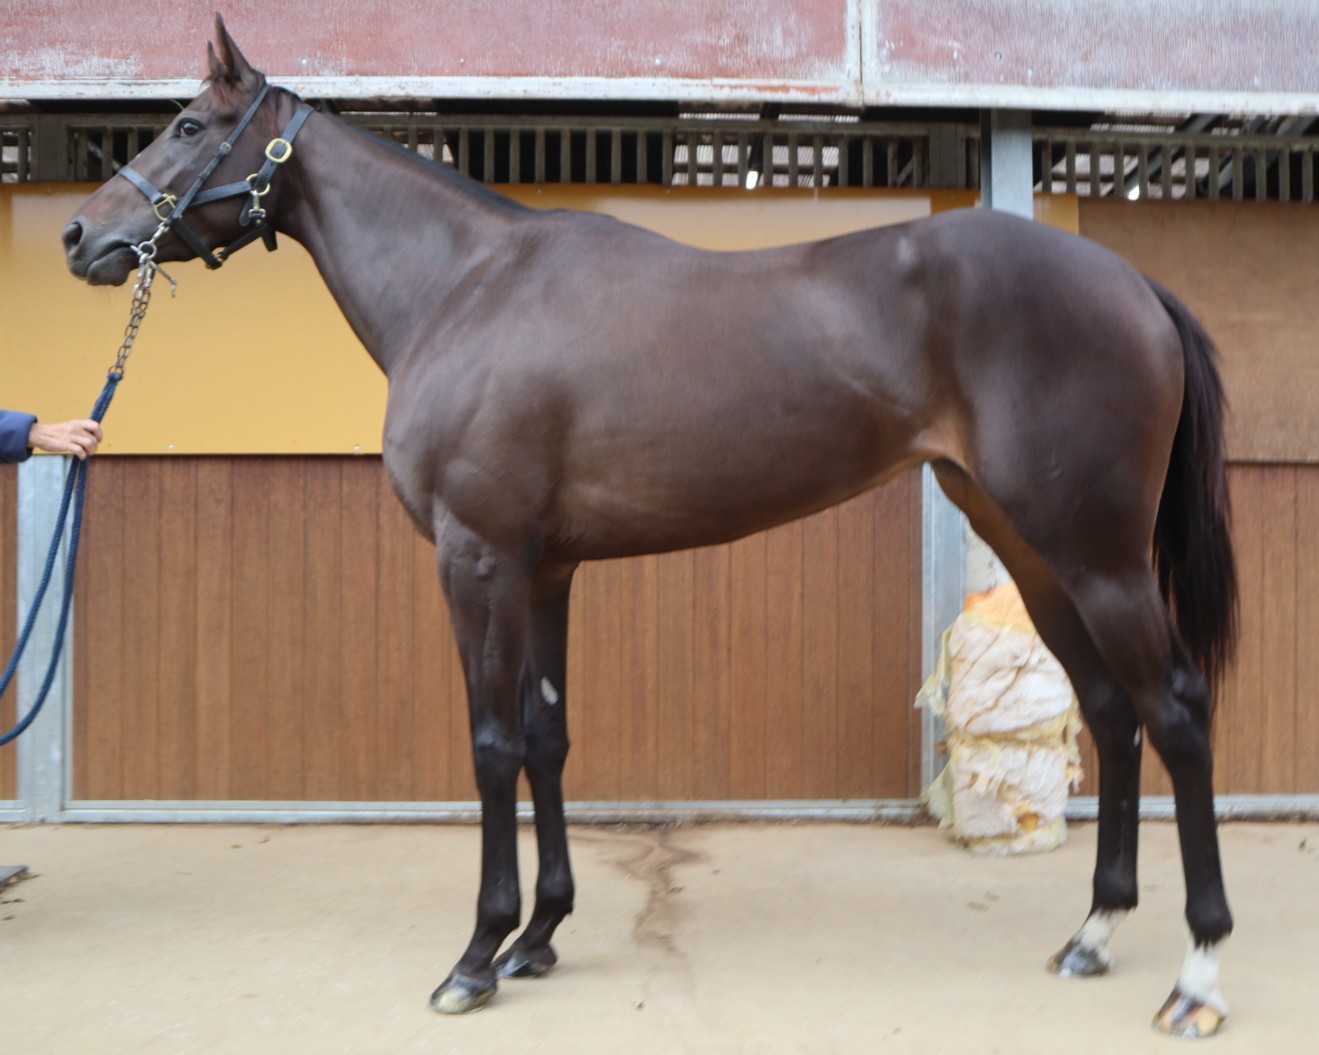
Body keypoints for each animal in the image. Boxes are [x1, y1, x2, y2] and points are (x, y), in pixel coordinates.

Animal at [62, 17, 1238, 1038]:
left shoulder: (478, 559)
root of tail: (1132, 282)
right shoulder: (545, 570)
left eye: (185, 126)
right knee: (1112, 712)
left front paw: (477, 955)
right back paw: (1093, 931)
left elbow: (491, 744)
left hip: (1095, 553)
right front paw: (540, 934)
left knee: (1175, 708)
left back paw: (1195, 974)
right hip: (1036, 547)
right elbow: (546, 737)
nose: (81, 235)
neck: (465, 288)